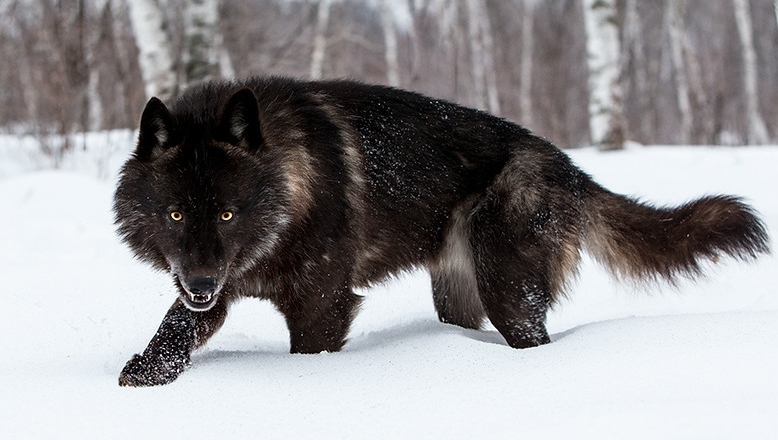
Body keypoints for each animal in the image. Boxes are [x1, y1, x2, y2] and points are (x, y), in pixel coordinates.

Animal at [114, 76, 769, 386]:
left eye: (228, 214)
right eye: (176, 215)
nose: (201, 284)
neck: (291, 185)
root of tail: (567, 165)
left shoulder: (322, 307)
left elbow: (308, 354)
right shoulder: (212, 288)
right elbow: (173, 331)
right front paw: (142, 378)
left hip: (509, 295)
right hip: (458, 296)